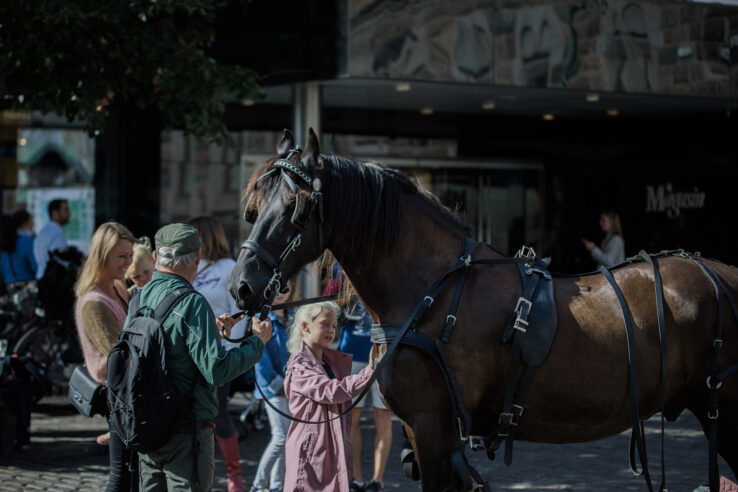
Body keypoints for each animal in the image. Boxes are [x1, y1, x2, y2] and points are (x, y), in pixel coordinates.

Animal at [229, 129, 736, 490]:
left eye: (295, 208)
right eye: (253, 208)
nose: (241, 286)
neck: (430, 290)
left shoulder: (432, 429)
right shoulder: (429, 433)